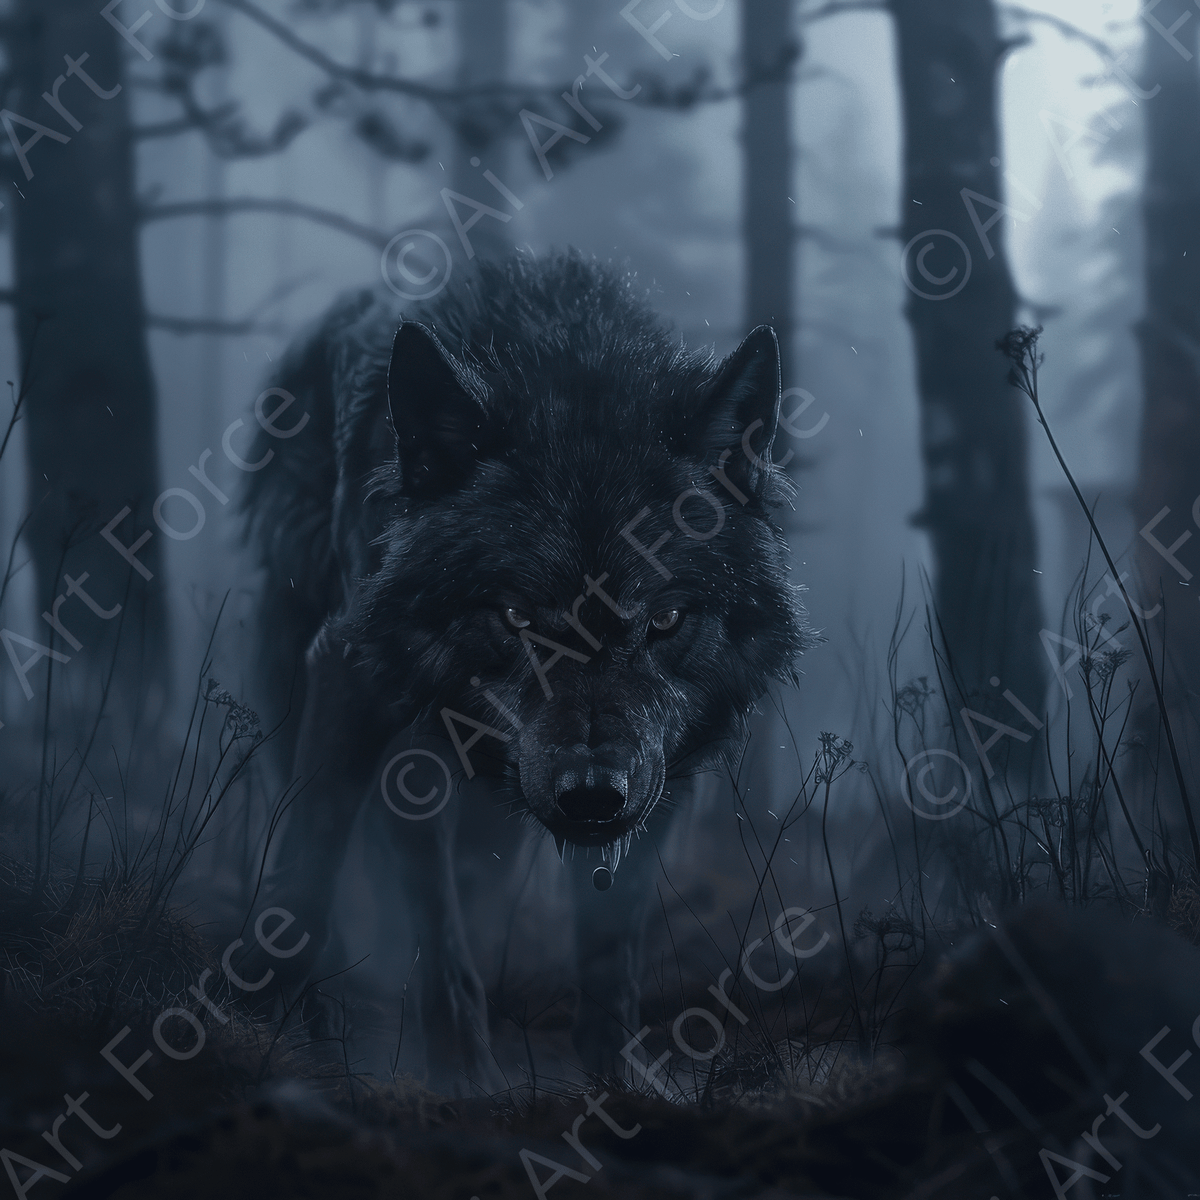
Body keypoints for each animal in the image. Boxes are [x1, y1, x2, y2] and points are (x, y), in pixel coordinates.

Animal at [238, 251, 809, 1088]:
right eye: (515, 616)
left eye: (664, 620)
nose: (594, 797)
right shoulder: (357, 683)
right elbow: (331, 884)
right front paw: (454, 1074)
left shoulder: (665, 766)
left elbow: (610, 942)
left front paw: (617, 1077)